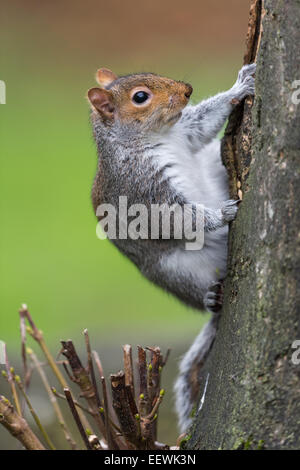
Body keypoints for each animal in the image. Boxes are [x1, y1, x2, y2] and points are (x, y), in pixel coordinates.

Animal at [86, 63, 255, 434]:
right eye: (140, 97)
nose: (187, 89)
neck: (157, 137)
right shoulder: (143, 191)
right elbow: (178, 218)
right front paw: (222, 213)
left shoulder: (187, 133)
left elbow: (205, 122)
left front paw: (241, 85)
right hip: (176, 269)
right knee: (199, 294)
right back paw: (211, 296)